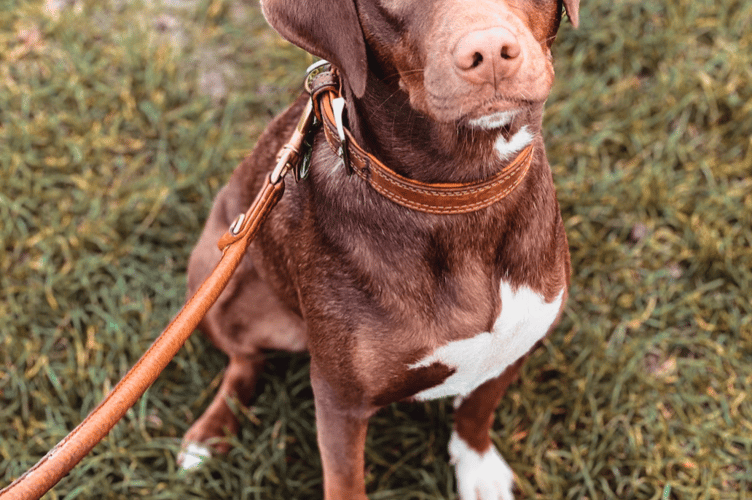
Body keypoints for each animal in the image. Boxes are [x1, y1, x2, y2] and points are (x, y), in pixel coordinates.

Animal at [179, 1, 580, 498]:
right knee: (243, 360)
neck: (460, 193)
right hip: (215, 281)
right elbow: (345, 480)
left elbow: (476, 412)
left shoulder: (516, 342)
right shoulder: (340, 399)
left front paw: (478, 469)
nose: (489, 51)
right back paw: (208, 435)